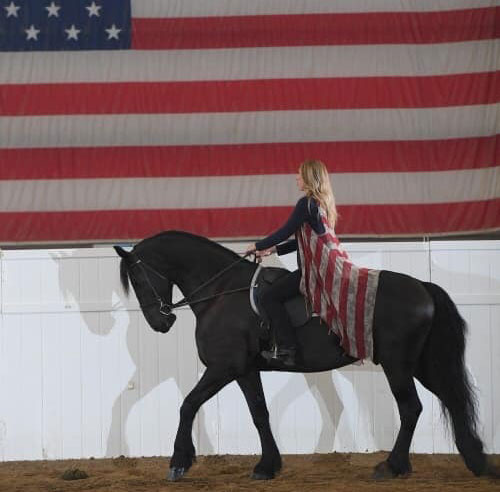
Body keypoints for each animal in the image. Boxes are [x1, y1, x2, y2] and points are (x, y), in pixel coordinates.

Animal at [114, 230, 500, 480]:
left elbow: (188, 404)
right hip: (421, 364)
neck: (222, 292)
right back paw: (475, 462)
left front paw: (179, 461)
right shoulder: (245, 370)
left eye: (138, 277)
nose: (160, 322)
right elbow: (259, 414)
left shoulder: (224, 367)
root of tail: (423, 287)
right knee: (451, 398)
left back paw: (393, 466)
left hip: (397, 364)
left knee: (411, 408)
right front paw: (267, 466)